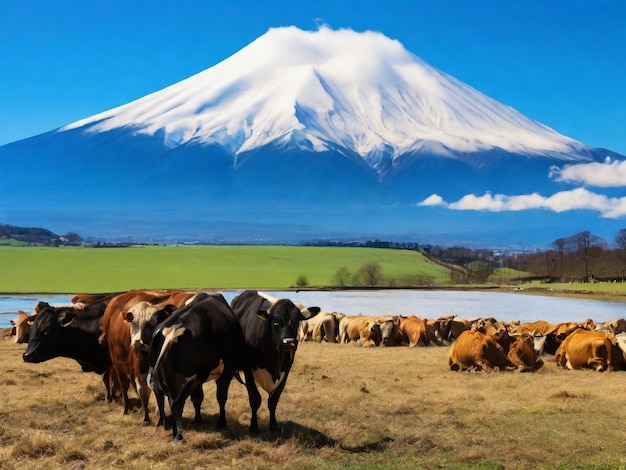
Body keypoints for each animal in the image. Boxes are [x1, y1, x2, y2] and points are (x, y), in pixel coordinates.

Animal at [147, 292, 258, 442]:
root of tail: (173, 330)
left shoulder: (198, 375)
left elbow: (197, 398)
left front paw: (198, 420)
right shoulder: (226, 369)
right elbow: (221, 396)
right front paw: (221, 422)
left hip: (165, 376)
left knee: (166, 398)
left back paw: (170, 429)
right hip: (184, 379)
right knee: (176, 402)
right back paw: (178, 435)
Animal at [229, 290, 320, 434]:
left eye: (296, 322)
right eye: (276, 322)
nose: (289, 342)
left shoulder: (286, 370)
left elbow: (273, 399)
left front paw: (273, 426)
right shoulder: (248, 369)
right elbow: (255, 399)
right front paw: (253, 427)